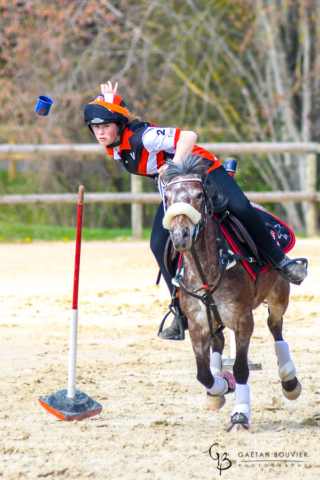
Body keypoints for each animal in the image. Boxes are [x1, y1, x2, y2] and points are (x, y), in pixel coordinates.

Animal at [161, 157, 302, 432]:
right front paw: (219, 389)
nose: (180, 236)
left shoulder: (243, 320)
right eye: (168, 198)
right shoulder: (197, 324)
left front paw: (240, 415)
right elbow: (203, 374)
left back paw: (289, 380)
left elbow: (240, 369)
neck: (207, 271)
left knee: (275, 326)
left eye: (199, 196)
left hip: (280, 294)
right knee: (218, 342)